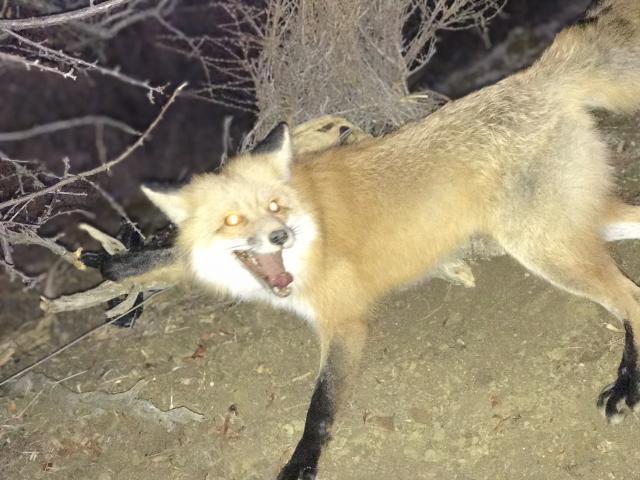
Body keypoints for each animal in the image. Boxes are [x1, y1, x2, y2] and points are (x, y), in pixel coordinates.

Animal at [110, 1, 640, 478]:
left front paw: (302, 463)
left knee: (629, 299)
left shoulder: (344, 322)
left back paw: (626, 388)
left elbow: (319, 409)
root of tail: (533, 75)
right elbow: (160, 257)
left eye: (276, 208)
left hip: (544, 248)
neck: (311, 231)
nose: (280, 234)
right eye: (233, 220)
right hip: (573, 226)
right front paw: (118, 268)